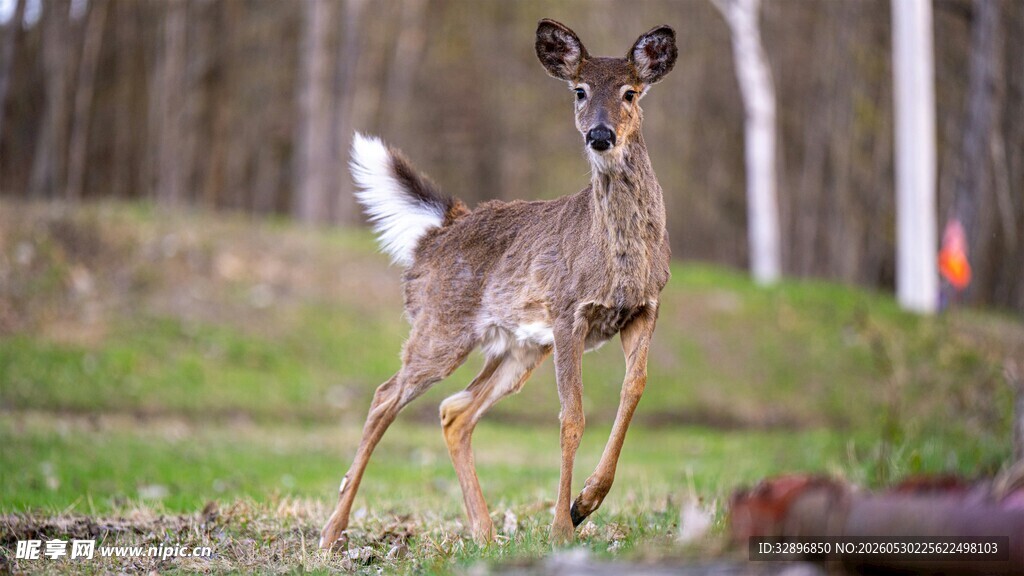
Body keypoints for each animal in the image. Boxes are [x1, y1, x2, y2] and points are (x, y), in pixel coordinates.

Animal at [319, 19, 677, 549]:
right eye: (579, 90)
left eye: (630, 92)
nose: (600, 134)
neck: (620, 260)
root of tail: (439, 229)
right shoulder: (568, 311)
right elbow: (572, 417)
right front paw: (562, 526)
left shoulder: (644, 308)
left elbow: (634, 390)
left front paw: (586, 502)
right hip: (441, 326)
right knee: (387, 395)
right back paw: (332, 531)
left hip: (518, 346)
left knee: (454, 410)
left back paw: (485, 533)